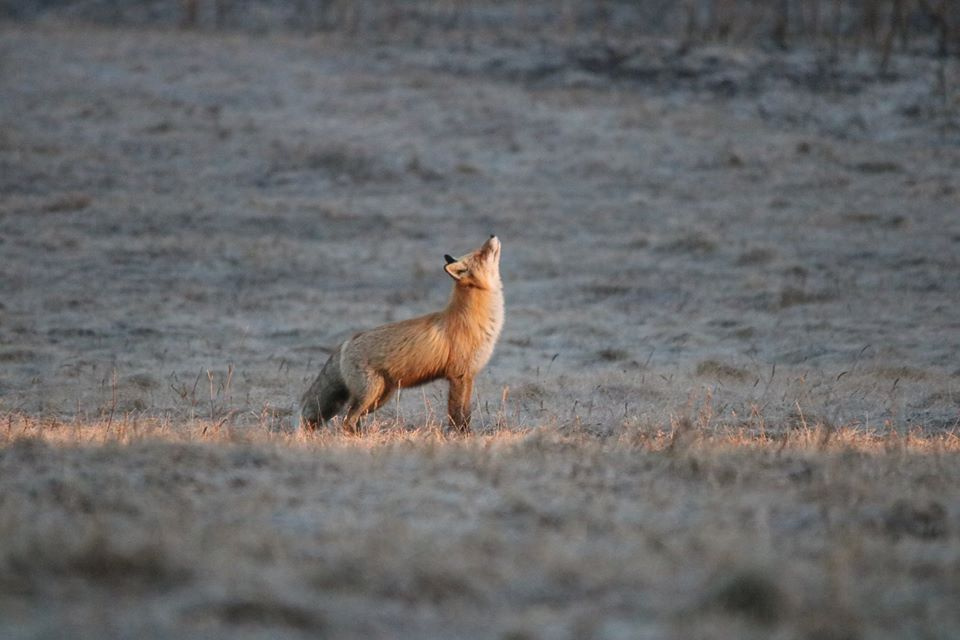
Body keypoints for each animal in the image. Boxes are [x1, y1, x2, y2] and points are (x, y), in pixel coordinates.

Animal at [300, 236, 506, 436]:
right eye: (481, 254)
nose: (492, 235)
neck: (473, 316)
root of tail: (347, 341)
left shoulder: (468, 376)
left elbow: (466, 412)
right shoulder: (458, 375)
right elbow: (458, 414)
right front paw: (462, 436)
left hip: (380, 398)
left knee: (352, 419)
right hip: (370, 394)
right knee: (347, 419)